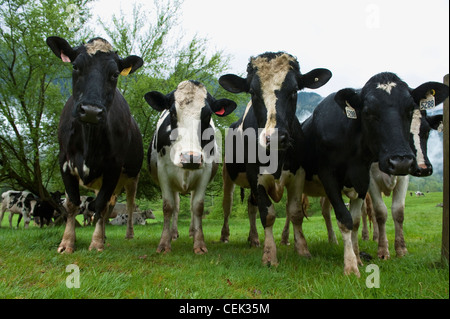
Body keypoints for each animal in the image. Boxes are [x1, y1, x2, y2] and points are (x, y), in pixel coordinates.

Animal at [46, 36, 143, 254]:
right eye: (75, 66)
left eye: (115, 74)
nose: (91, 110)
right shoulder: (64, 163)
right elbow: (72, 204)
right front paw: (67, 242)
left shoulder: (113, 168)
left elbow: (100, 206)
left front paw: (97, 242)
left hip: (131, 178)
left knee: (127, 205)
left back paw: (128, 234)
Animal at [145, 80, 237, 255]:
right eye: (173, 113)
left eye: (207, 114)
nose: (190, 157)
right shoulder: (163, 172)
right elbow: (168, 207)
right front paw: (164, 243)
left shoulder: (205, 171)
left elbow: (198, 206)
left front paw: (199, 243)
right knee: (176, 206)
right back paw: (174, 233)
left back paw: (192, 232)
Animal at [218, 51, 330, 266]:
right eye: (252, 92)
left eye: (294, 91)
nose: (276, 137)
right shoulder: (255, 176)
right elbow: (267, 214)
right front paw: (270, 255)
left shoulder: (298, 174)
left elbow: (294, 212)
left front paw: (302, 249)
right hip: (228, 175)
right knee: (227, 207)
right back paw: (225, 236)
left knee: (251, 207)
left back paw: (254, 238)